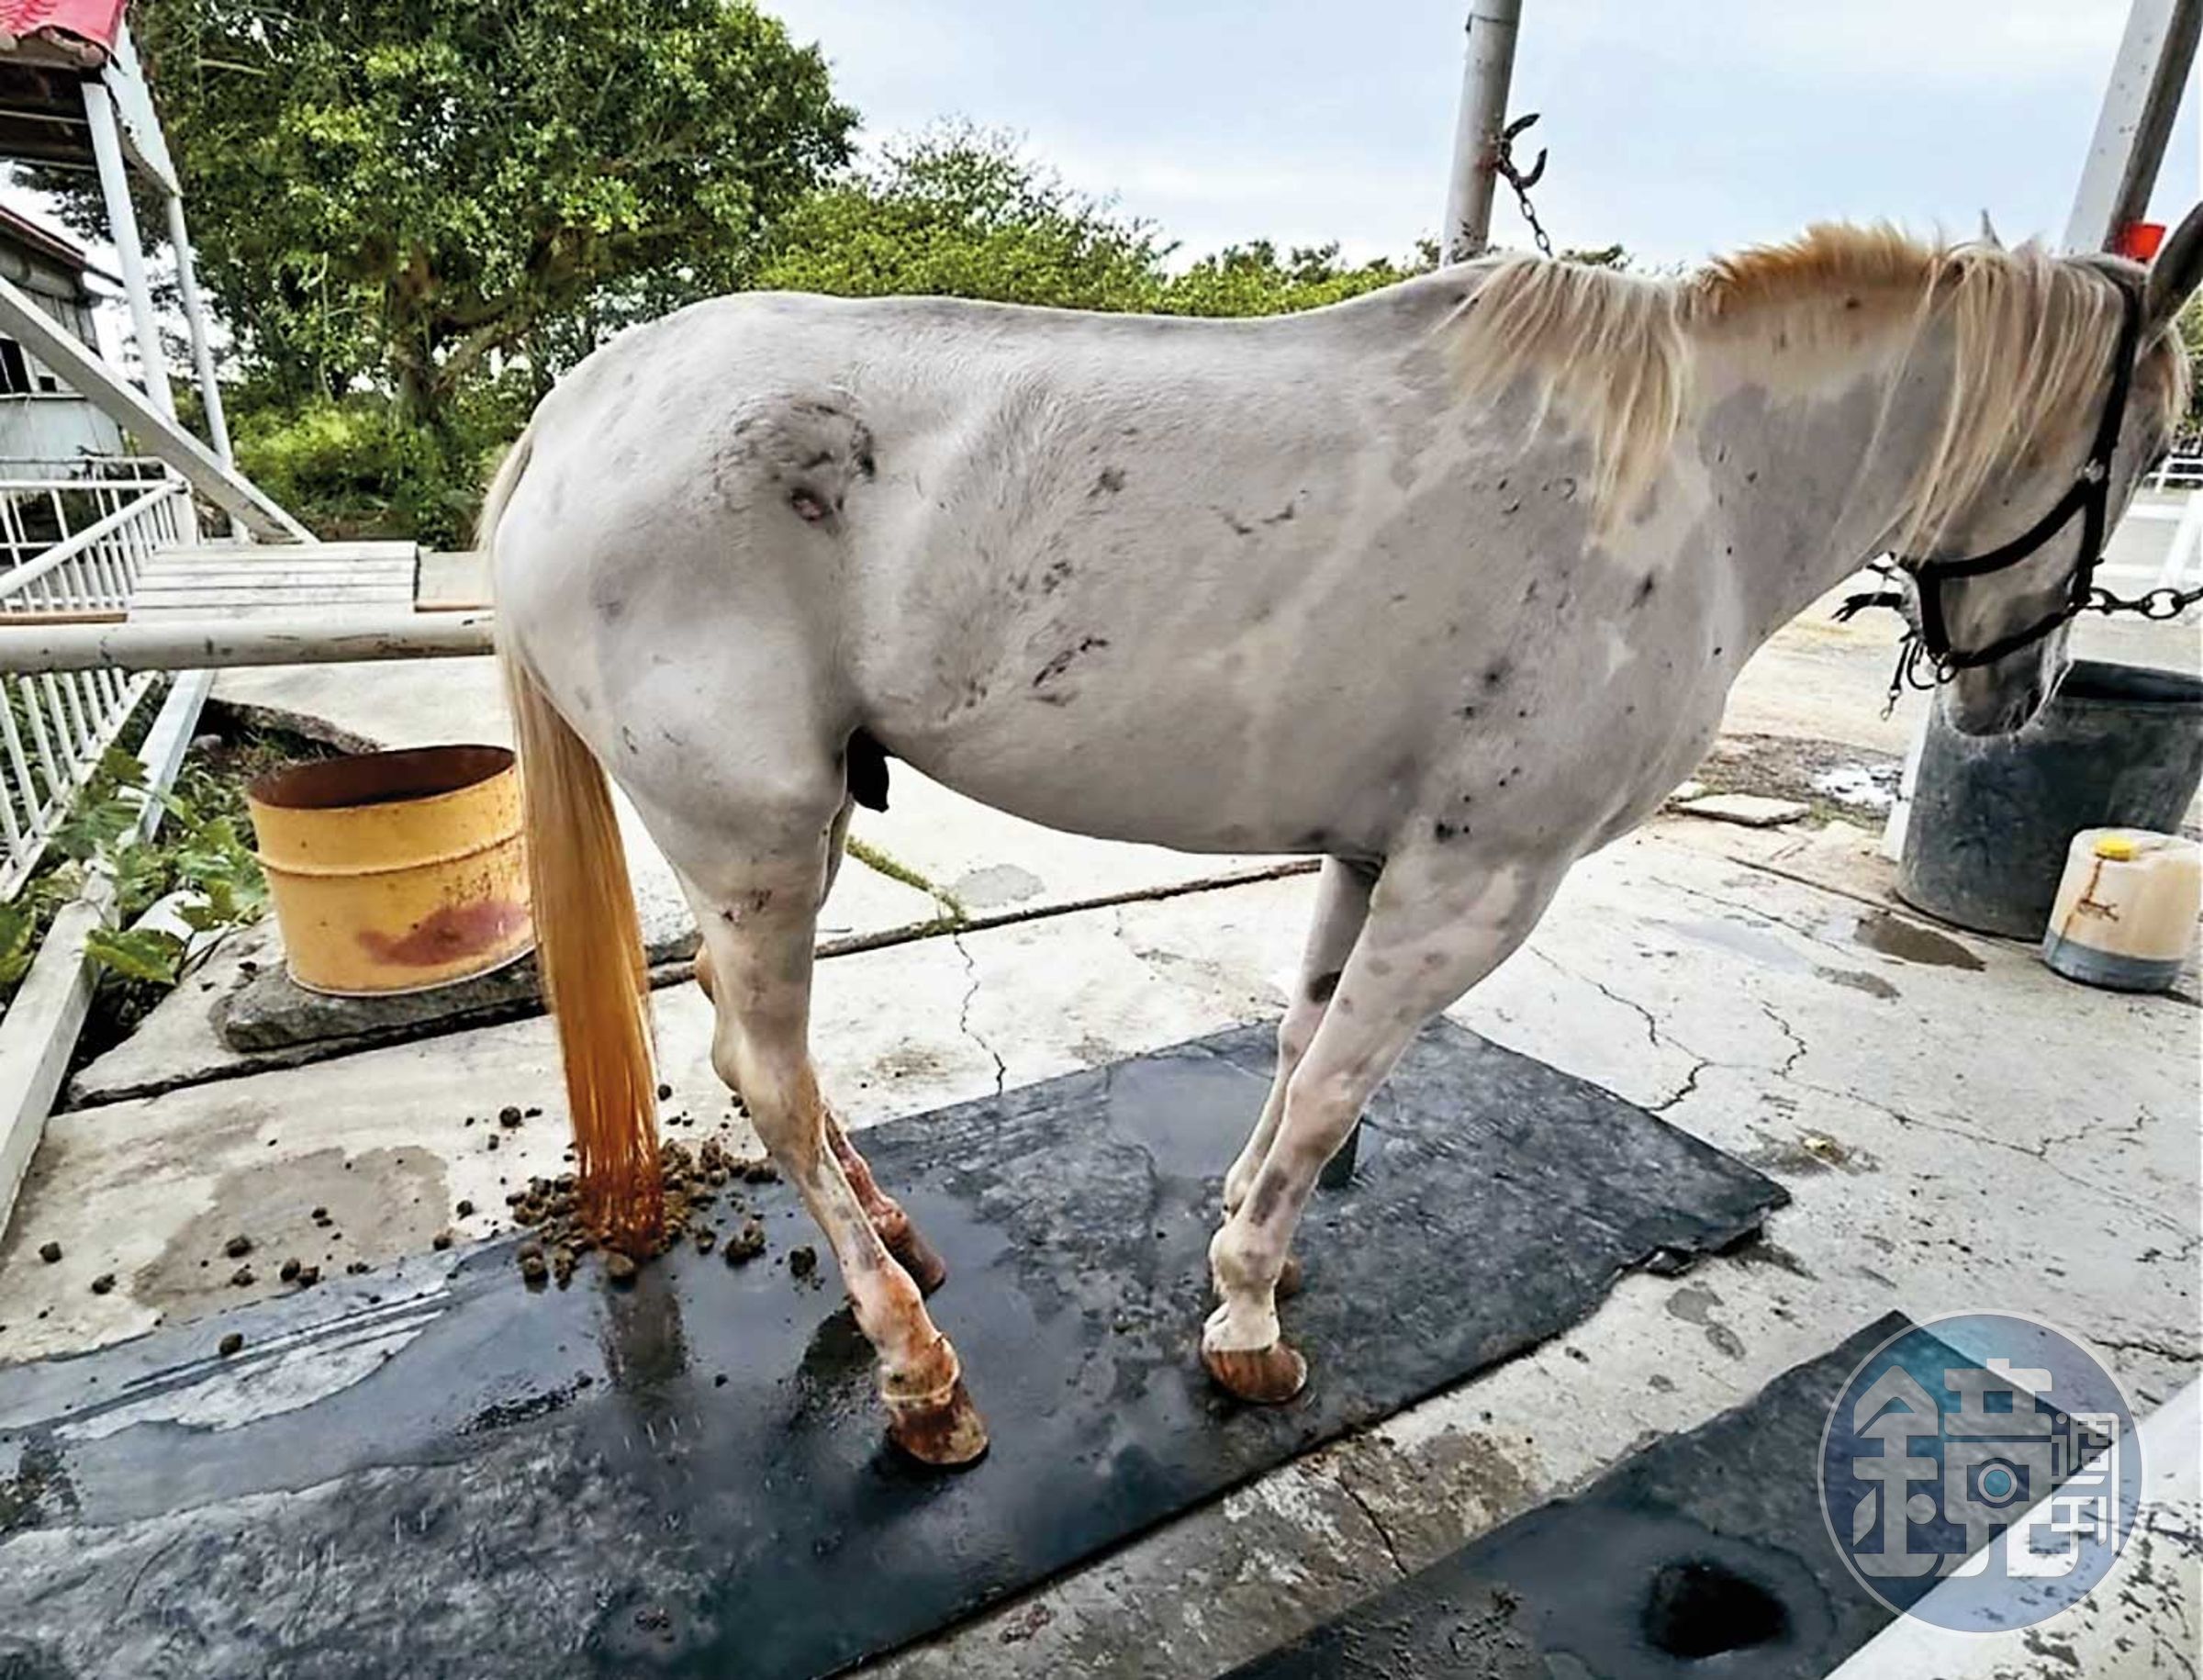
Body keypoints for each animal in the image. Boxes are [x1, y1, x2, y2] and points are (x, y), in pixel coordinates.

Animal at [487, 206, 2203, 1466]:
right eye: (2134, 451)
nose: (2019, 695)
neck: (1692, 483)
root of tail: (577, 410)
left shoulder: (1375, 855)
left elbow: (1302, 1047)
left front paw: (1252, 1238)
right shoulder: (1479, 881)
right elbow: (1334, 1093)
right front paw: (1247, 1323)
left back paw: (901, 1241)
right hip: (758, 834)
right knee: (764, 1068)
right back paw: (920, 1371)